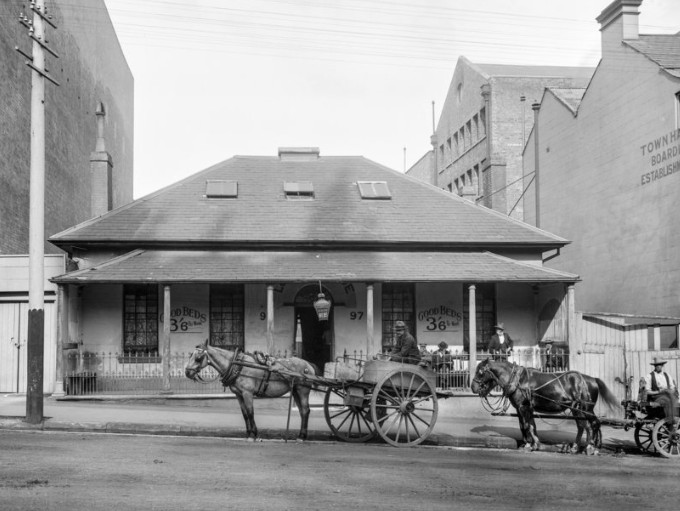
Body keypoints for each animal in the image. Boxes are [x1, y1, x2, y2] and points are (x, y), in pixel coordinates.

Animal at [183, 344, 316, 444]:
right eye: (190, 355)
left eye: (198, 357)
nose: (187, 372)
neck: (237, 365)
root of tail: (308, 364)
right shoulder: (239, 394)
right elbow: (245, 414)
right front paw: (249, 434)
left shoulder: (247, 393)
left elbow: (251, 412)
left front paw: (253, 435)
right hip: (296, 391)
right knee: (302, 411)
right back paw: (301, 435)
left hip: (302, 390)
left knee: (305, 411)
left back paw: (302, 437)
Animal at [470, 358, 620, 454]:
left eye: (480, 372)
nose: (473, 387)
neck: (518, 380)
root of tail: (593, 379)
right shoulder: (523, 408)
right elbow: (529, 426)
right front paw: (535, 444)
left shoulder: (523, 407)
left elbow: (526, 426)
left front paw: (529, 445)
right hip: (576, 409)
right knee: (583, 426)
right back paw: (577, 447)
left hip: (585, 408)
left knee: (594, 424)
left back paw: (592, 447)